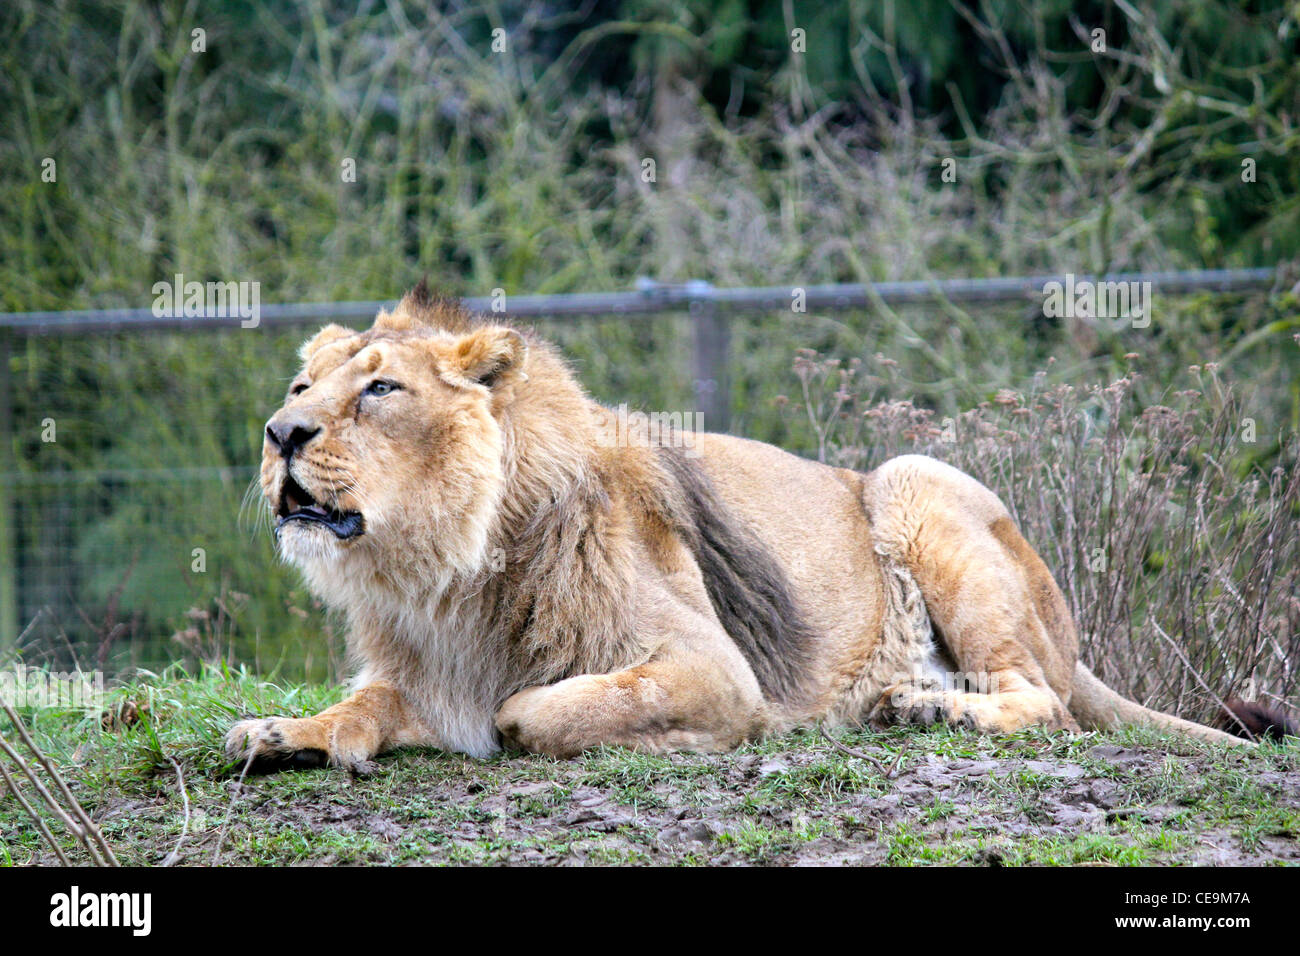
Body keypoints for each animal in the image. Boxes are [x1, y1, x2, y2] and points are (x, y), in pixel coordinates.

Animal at [226, 282, 1271, 771]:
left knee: (1046, 703)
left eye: (381, 391)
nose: (280, 433)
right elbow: (362, 708)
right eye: (300, 386)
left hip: (914, 479)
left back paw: (932, 709)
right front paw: (286, 733)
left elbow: (531, 710)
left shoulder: (711, 668)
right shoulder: (421, 671)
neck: (443, 569)